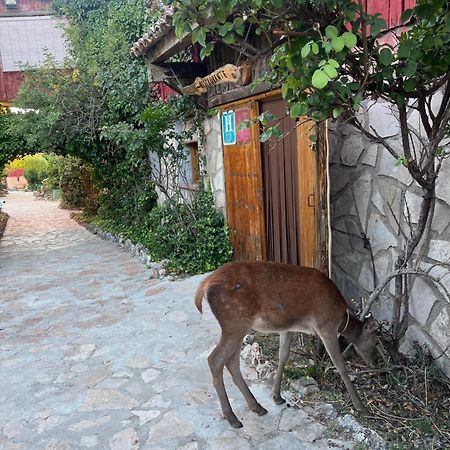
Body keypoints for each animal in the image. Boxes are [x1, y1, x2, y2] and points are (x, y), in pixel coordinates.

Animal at [195, 260, 378, 428]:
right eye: (376, 342)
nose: (374, 364)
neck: (341, 319)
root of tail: (204, 286)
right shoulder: (325, 326)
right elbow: (340, 365)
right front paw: (362, 408)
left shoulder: (288, 328)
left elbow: (283, 356)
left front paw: (277, 396)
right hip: (235, 322)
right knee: (215, 360)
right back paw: (232, 418)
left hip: (237, 327)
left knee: (231, 363)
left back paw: (256, 407)